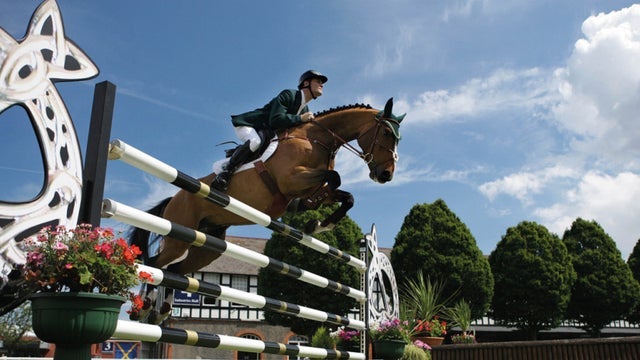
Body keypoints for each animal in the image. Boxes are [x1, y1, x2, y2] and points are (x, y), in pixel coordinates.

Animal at [130, 97, 404, 322]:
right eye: (387, 134)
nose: (386, 175)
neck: (317, 139)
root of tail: (175, 198)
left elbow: (346, 196)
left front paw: (318, 223)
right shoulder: (291, 179)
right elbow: (334, 177)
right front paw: (314, 216)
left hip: (207, 245)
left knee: (174, 270)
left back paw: (162, 311)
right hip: (180, 234)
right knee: (155, 263)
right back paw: (144, 307)